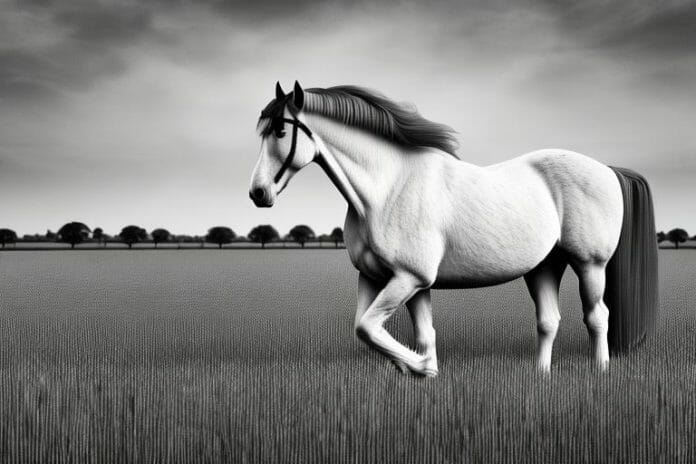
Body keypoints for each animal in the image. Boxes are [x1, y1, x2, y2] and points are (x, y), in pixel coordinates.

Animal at [249, 81, 658, 376]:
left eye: (281, 130)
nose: (258, 193)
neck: (388, 188)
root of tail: (607, 169)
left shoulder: (408, 278)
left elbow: (367, 328)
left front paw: (420, 367)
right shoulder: (384, 279)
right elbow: (395, 331)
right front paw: (420, 369)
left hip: (590, 265)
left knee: (598, 317)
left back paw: (601, 372)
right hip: (544, 266)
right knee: (548, 321)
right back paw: (540, 377)